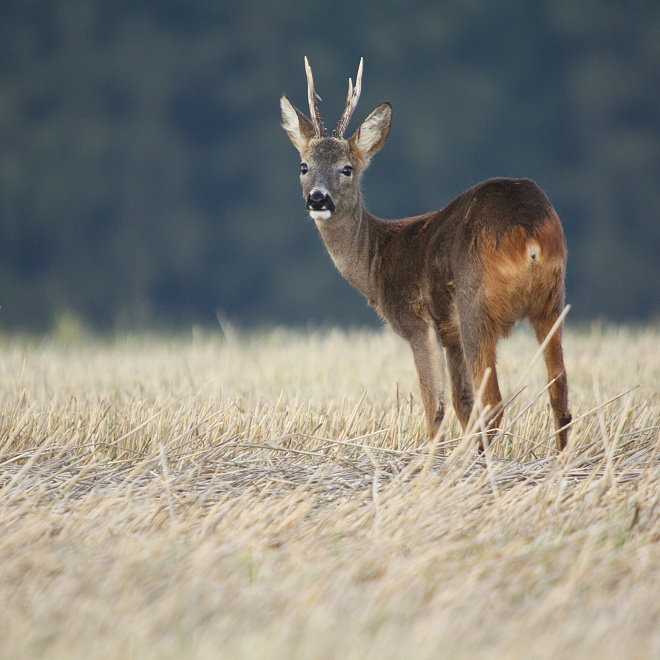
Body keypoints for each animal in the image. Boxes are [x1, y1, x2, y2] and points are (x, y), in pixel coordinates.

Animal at [280, 58, 572, 451]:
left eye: (347, 168)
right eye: (304, 166)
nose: (318, 199)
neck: (378, 261)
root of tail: (529, 237)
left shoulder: (418, 323)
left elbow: (435, 407)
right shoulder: (450, 336)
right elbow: (463, 404)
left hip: (476, 304)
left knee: (494, 403)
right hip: (551, 302)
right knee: (559, 393)